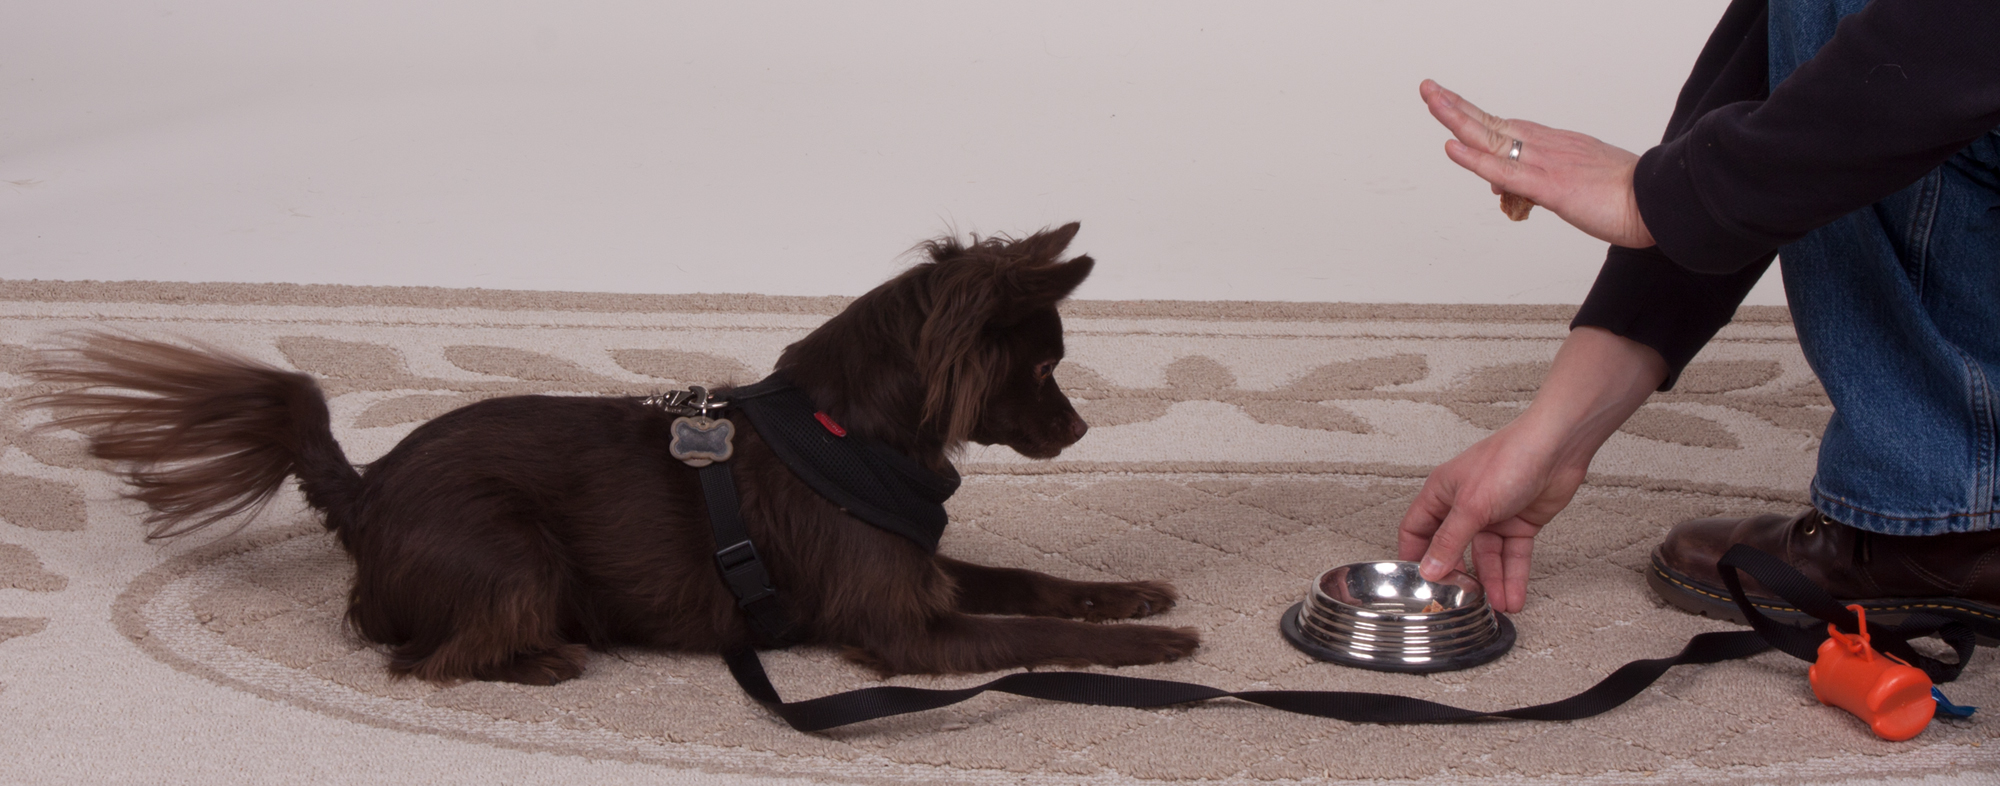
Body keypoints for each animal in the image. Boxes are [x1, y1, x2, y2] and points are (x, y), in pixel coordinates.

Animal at [31, 224, 1192, 684]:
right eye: (1042, 369)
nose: (1081, 431)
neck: (852, 440)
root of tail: (362, 496)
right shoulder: (903, 630)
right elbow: (1035, 632)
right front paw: (1158, 648)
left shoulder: (927, 571)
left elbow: (1035, 584)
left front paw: (1132, 595)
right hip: (513, 550)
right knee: (425, 658)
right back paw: (541, 655)